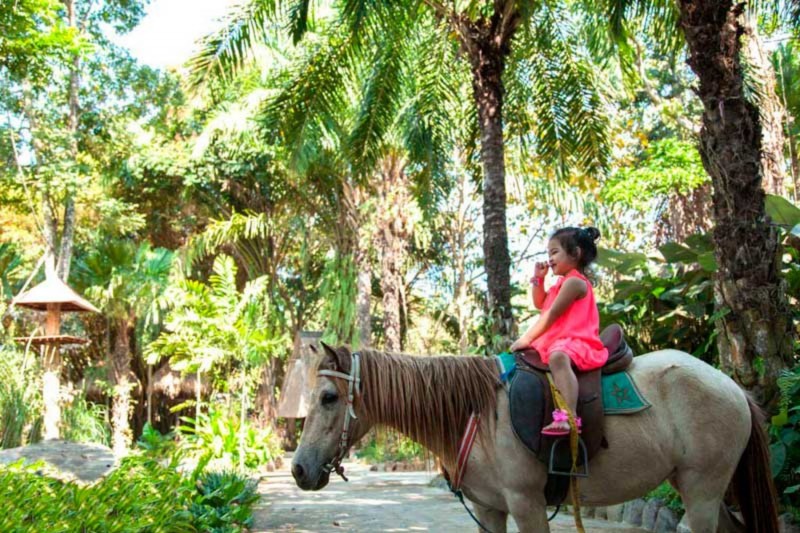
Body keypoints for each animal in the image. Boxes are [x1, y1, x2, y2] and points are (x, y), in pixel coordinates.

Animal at [290, 343, 779, 533]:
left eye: (329, 397)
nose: (298, 469)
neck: (476, 414)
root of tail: (734, 387)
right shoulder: (490, 510)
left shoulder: (527, 506)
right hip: (702, 490)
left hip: (702, 489)